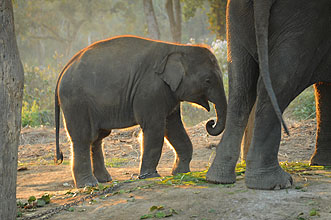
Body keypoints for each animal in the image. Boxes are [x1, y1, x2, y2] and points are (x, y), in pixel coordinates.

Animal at [56, 34, 228, 187]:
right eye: (208, 80)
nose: (210, 122)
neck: (178, 48)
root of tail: (64, 70)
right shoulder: (150, 90)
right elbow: (155, 128)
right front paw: (150, 176)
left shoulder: (168, 92)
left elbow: (173, 128)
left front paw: (180, 173)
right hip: (76, 102)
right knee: (83, 137)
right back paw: (88, 184)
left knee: (97, 137)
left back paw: (105, 180)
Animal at [208, 0, 331, 189]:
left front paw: (323, 163)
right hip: (303, 24)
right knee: (281, 80)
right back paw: (275, 183)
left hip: (236, 18)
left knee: (241, 84)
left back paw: (217, 178)